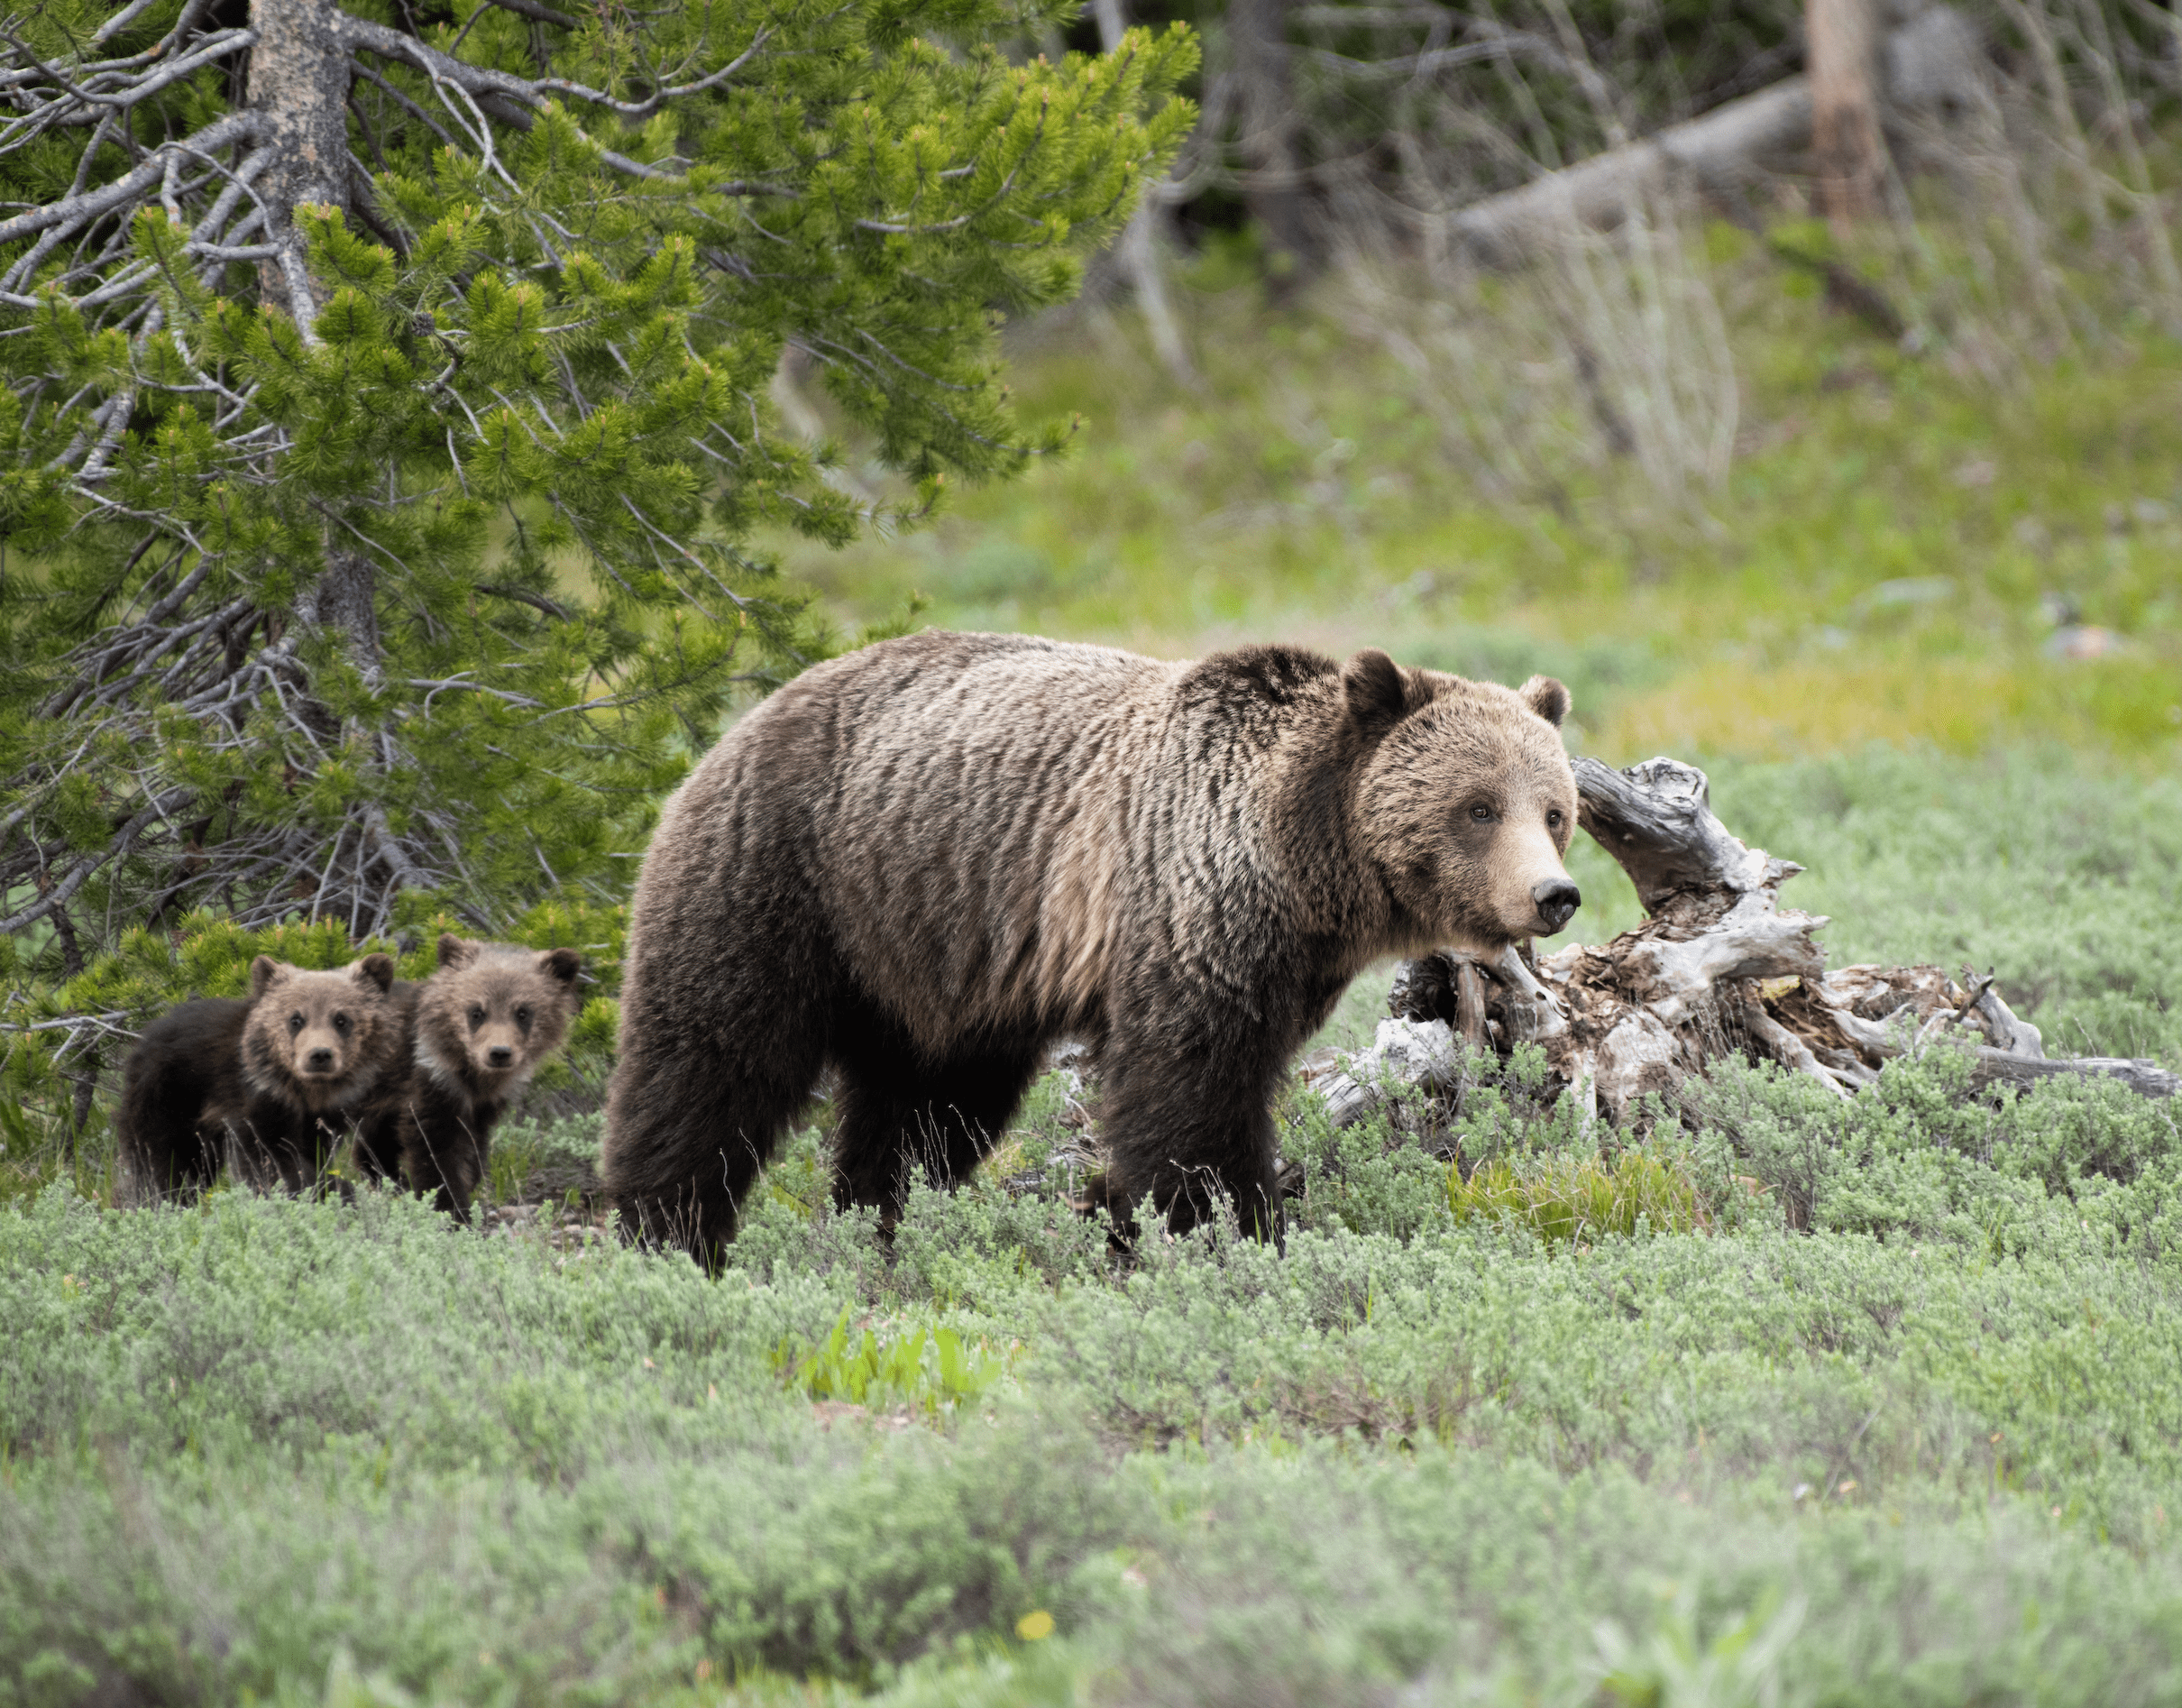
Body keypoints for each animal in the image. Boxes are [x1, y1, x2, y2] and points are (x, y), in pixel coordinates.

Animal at [114, 954, 407, 1206]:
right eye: (296, 1019)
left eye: (342, 1019)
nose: (320, 1055)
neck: (304, 1091)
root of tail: (144, 1036)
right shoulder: (257, 1097)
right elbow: (271, 1158)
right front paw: (328, 1190)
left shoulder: (324, 1117)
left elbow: (314, 1151)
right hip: (170, 1097)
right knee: (165, 1160)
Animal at [392, 935, 585, 1221]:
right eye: (477, 1011)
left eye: (523, 1012)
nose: (499, 1053)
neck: (473, 1077)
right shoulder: (431, 1082)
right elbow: (433, 1148)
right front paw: (451, 1207)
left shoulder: (483, 1105)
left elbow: (474, 1148)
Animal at [602, 629, 1581, 1266]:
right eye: (1477, 806)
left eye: (1553, 810)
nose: (1554, 895)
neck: (1301, 863)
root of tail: (742, 719)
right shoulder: (1183, 908)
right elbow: (1189, 1093)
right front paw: (1226, 1228)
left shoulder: (1289, 963)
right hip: (790, 878)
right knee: (711, 1056)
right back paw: (669, 1234)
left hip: (933, 952)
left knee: (926, 1105)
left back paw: (880, 1220)